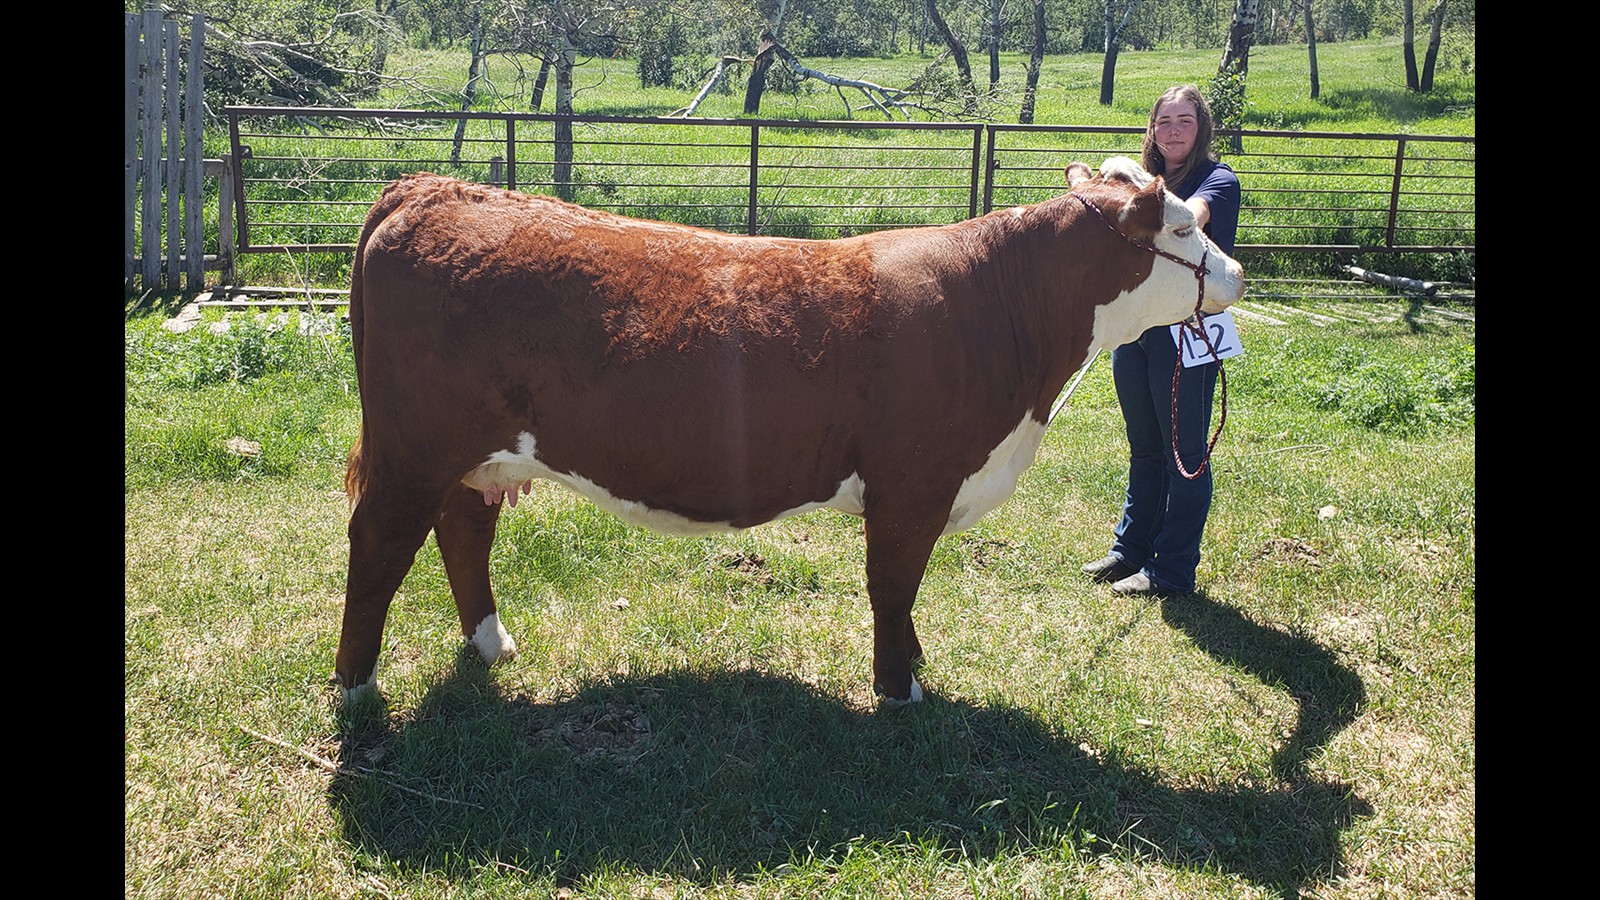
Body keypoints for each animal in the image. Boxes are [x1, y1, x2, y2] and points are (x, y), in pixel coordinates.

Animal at [335, 157, 1244, 705]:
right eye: (1182, 228)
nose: (1236, 272)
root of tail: (431, 188)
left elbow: (903, 593)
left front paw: (911, 662)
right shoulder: (912, 483)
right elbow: (893, 585)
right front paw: (899, 688)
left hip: (473, 456)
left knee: (464, 529)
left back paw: (492, 644)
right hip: (414, 450)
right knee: (379, 545)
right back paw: (355, 684)